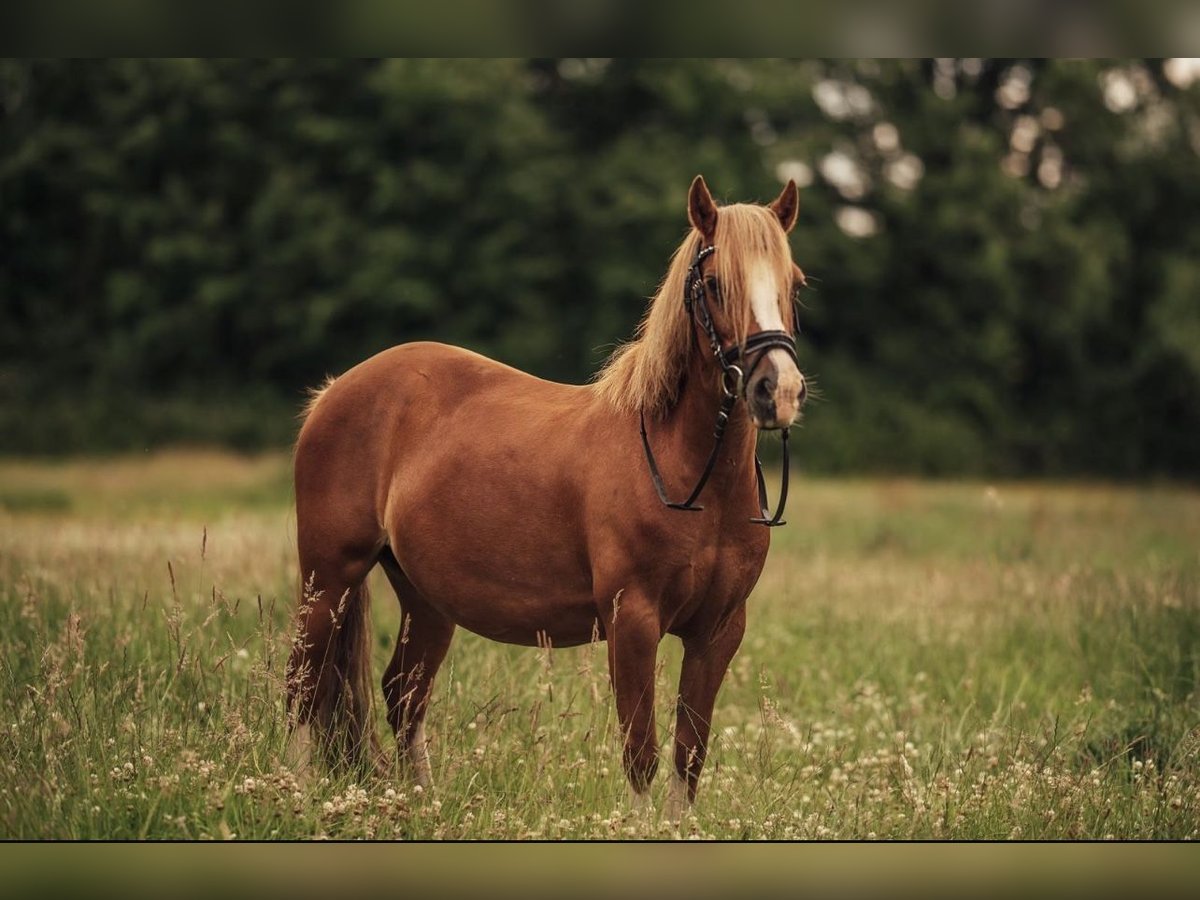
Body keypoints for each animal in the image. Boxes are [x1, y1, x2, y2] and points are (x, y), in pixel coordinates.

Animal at [284, 174, 806, 816]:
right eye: (714, 284)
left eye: (792, 284)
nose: (778, 390)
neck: (689, 478)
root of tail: (334, 391)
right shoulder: (632, 621)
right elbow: (641, 750)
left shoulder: (719, 632)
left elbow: (689, 755)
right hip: (328, 577)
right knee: (305, 685)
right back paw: (295, 789)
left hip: (424, 599)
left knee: (404, 694)